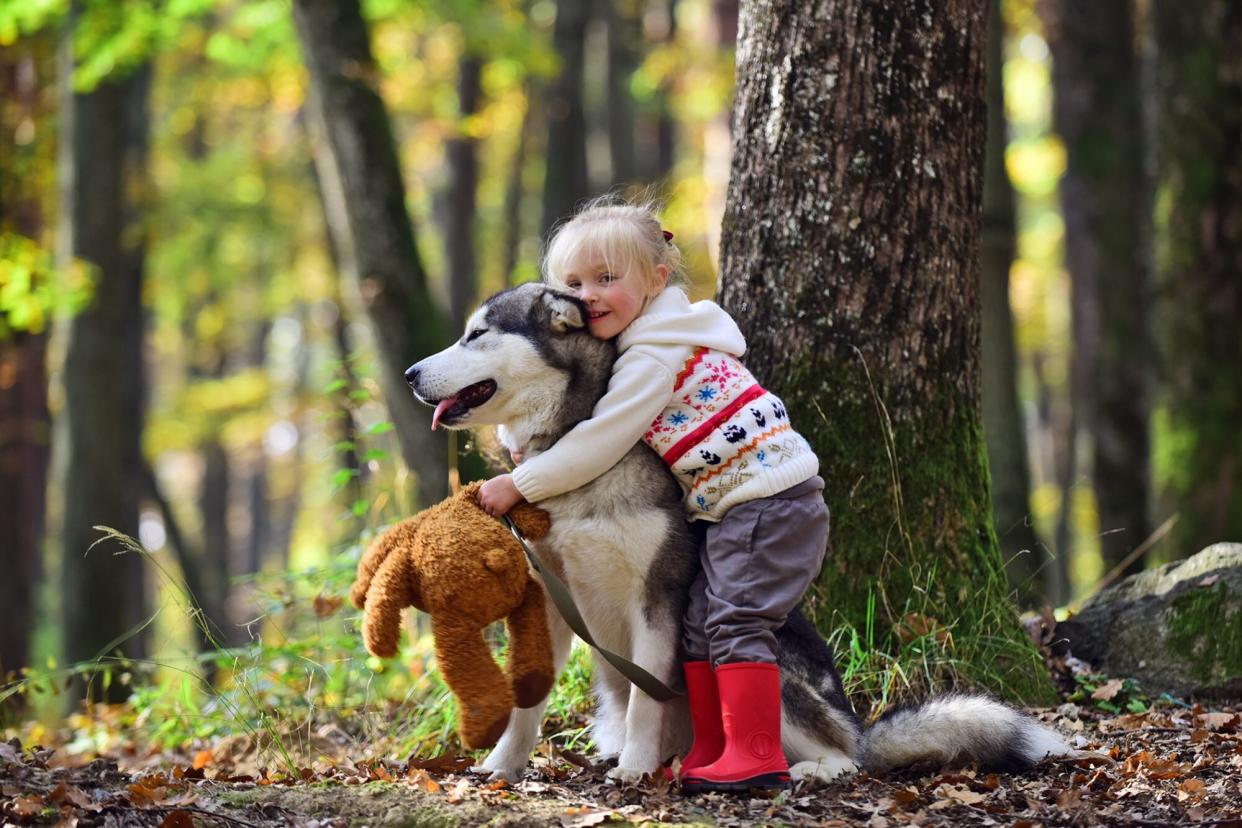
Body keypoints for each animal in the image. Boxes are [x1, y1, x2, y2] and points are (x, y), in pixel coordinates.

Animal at [404, 285, 1068, 784]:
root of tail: (856, 721)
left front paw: (634, 771)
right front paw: (501, 766)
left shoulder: (657, 599)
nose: (410, 372)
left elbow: (646, 701)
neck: (575, 439)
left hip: (788, 684)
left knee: (844, 754)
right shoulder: (549, 598)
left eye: (477, 334)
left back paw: (803, 769)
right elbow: (529, 698)